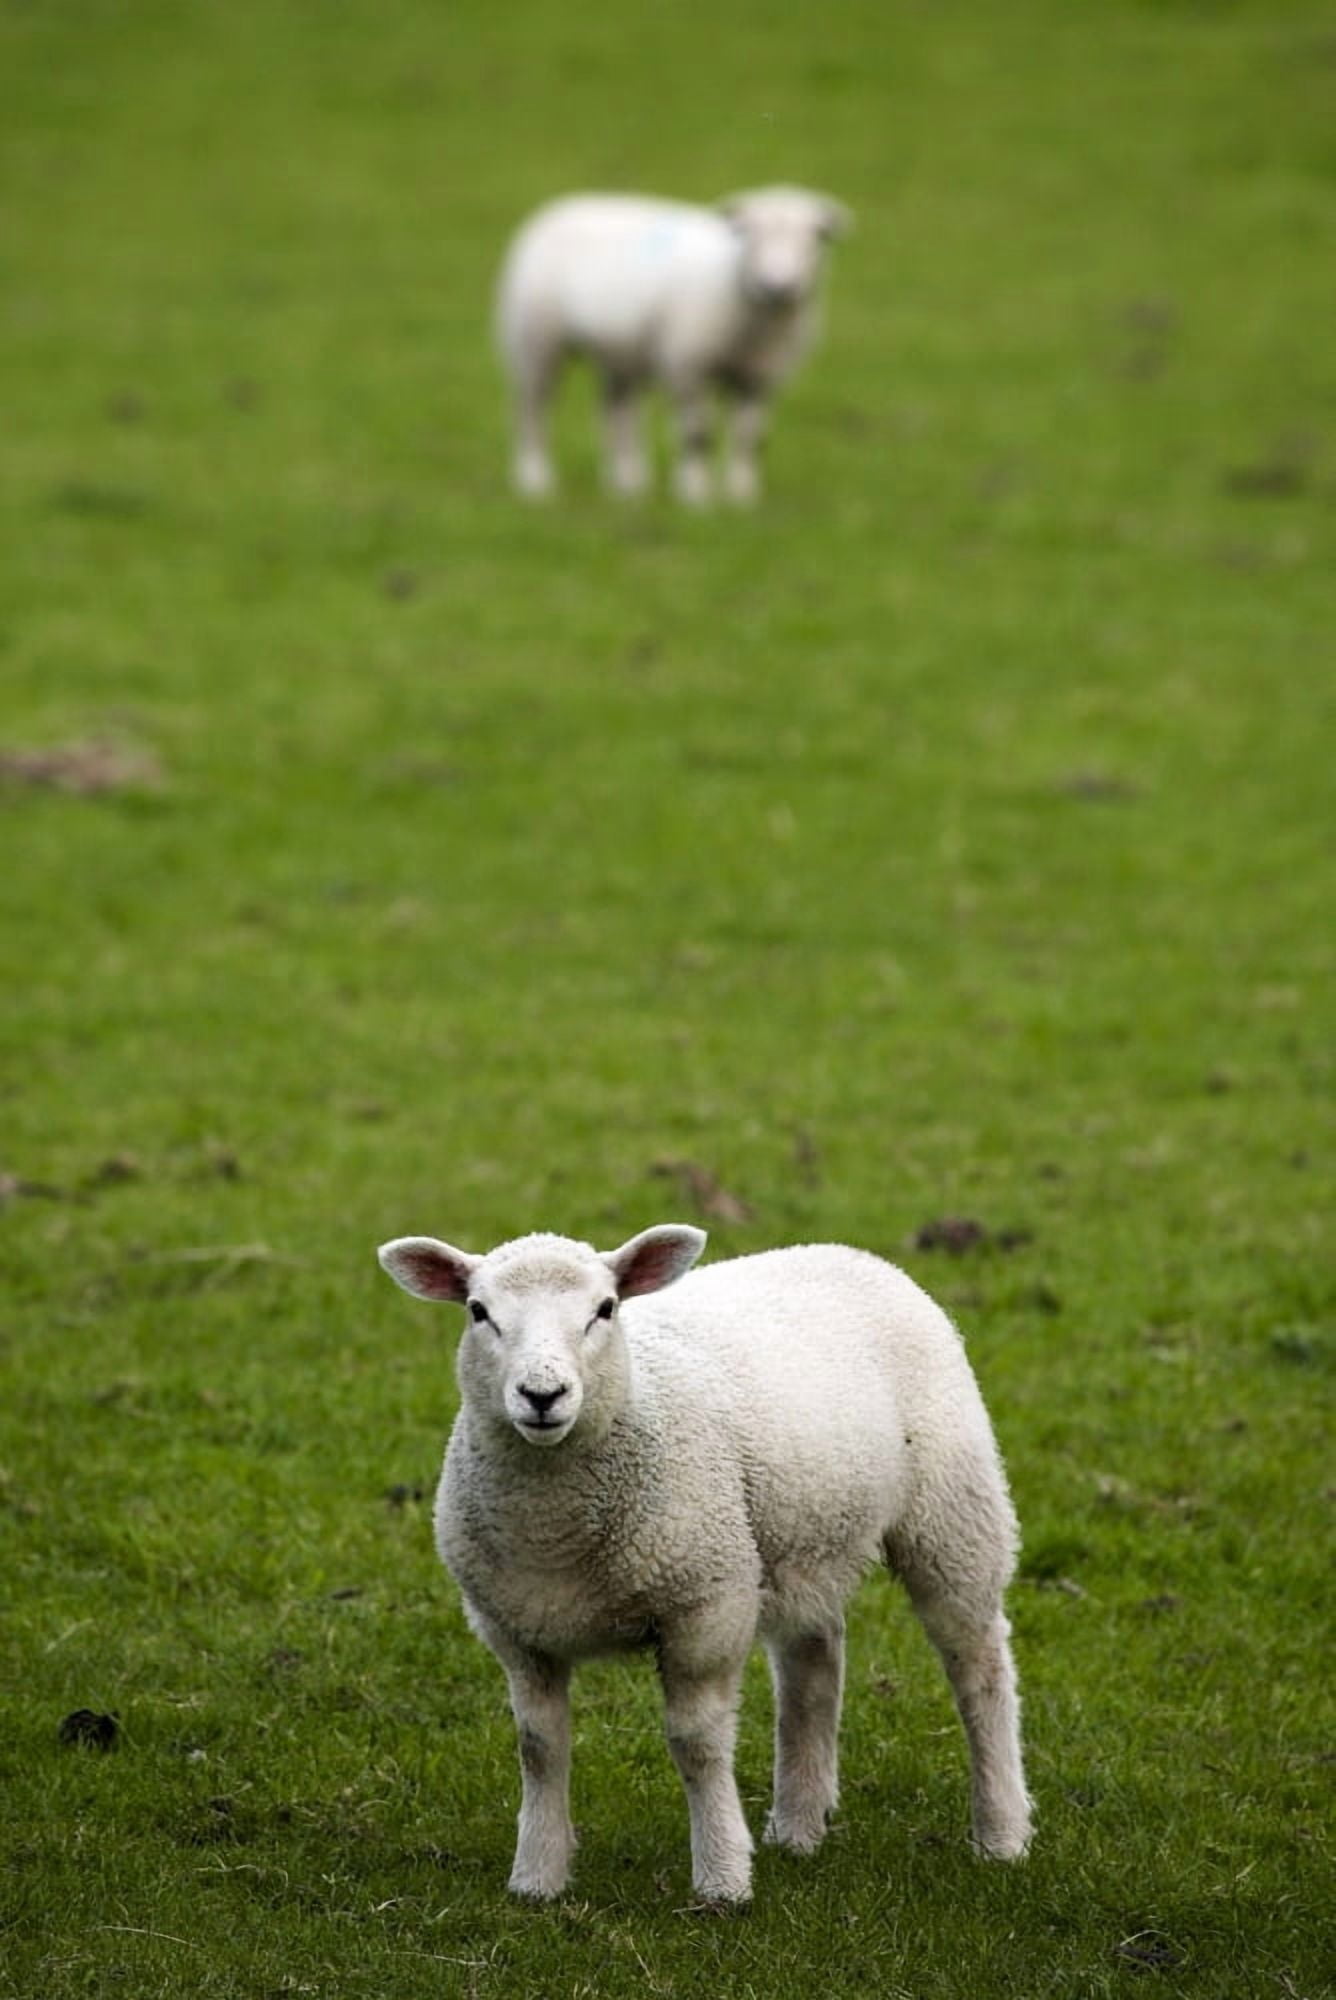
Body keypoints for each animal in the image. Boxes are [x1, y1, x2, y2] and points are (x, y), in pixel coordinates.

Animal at [377, 1223, 1031, 1905]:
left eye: (605, 1309)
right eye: (478, 1312)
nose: (542, 1395)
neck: (555, 1532)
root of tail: (848, 1253)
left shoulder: (705, 1604)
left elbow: (696, 1744)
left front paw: (722, 1879)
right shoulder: (514, 1630)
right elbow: (539, 1747)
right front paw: (537, 1876)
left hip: (952, 1512)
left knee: (979, 1667)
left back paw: (1001, 1832)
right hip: (799, 1538)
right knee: (813, 1664)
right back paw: (799, 1825)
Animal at [495, 187, 851, 506]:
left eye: (817, 236)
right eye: (749, 233)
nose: (777, 287)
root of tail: (557, 207)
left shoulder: (761, 377)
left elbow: (750, 439)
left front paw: (742, 496)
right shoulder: (688, 367)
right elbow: (697, 435)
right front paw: (695, 495)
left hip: (620, 352)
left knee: (616, 413)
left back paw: (626, 484)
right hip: (536, 340)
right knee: (533, 410)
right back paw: (535, 480)